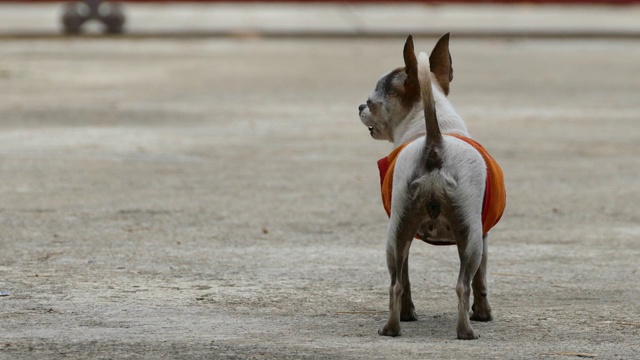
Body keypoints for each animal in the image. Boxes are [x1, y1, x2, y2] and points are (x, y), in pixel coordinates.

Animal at [360, 34, 504, 340]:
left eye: (370, 102)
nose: (359, 107)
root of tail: (435, 144)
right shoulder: (484, 235)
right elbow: (481, 280)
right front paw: (483, 314)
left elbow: (406, 280)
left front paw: (408, 313)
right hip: (469, 237)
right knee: (463, 283)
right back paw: (465, 331)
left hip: (399, 232)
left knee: (397, 283)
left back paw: (393, 328)